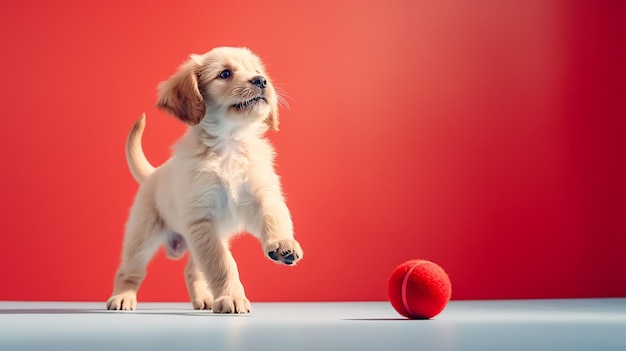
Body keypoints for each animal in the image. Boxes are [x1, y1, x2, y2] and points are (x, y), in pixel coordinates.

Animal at [106, 46, 302, 314]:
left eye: (257, 71)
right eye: (225, 73)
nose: (261, 81)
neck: (229, 144)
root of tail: (153, 174)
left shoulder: (259, 196)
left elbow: (274, 217)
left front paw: (283, 244)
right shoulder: (203, 221)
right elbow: (222, 264)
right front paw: (231, 297)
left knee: (192, 271)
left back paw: (204, 299)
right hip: (142, 236)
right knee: (130, 270)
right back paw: (122, 297)